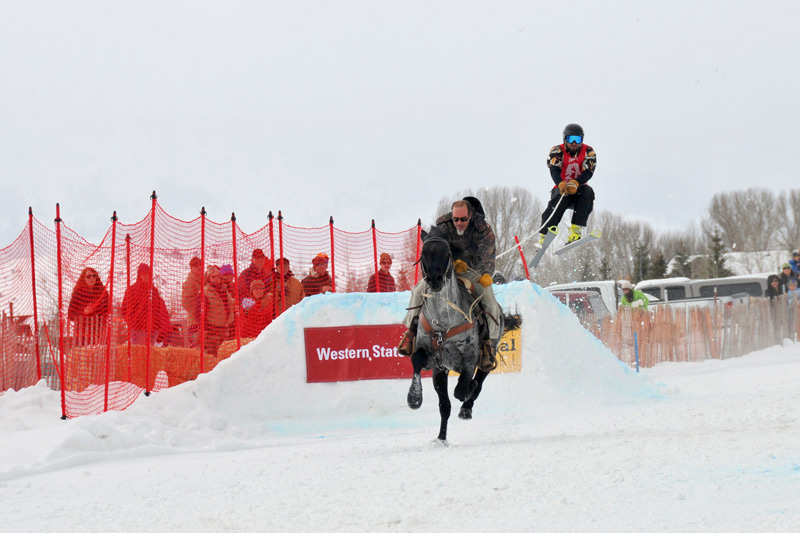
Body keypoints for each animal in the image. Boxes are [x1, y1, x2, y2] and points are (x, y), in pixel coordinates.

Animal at [406, 229, 520, 440]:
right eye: (423, 254)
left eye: (447, 253)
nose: (434, 279)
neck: (444, 321)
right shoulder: (435, 362)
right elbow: (420, 365)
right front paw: (415, 397)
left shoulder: (469, 359)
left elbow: (461, 389)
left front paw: (468, 392)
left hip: (489, 352)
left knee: (480, 378)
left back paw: (467, 407)